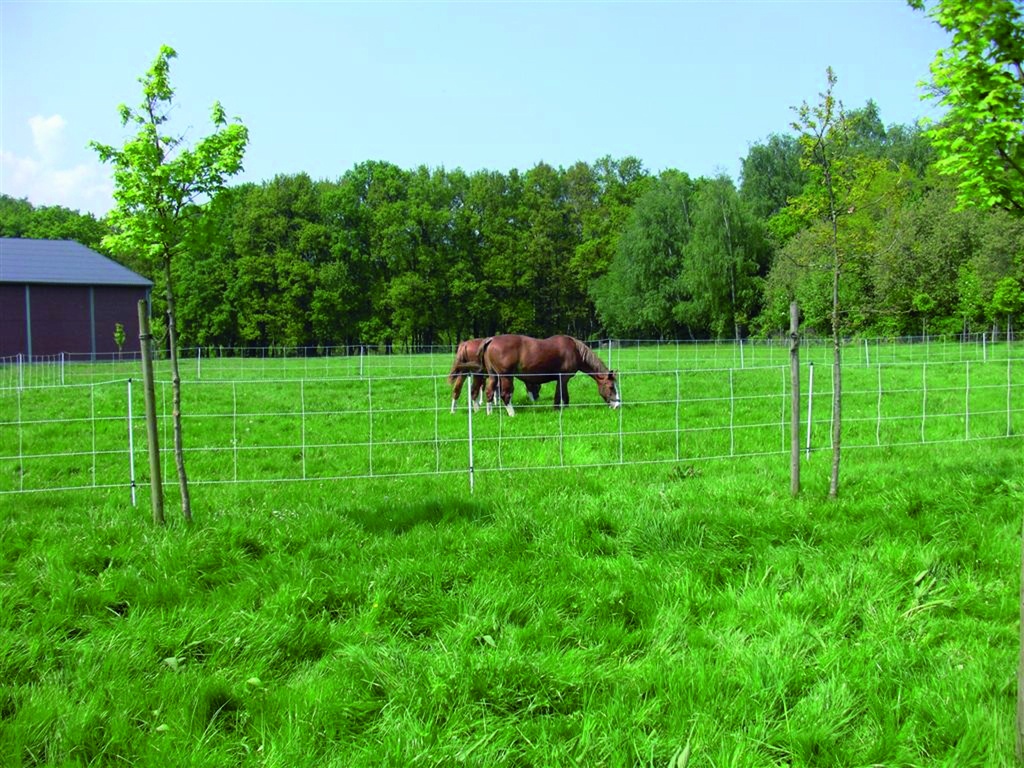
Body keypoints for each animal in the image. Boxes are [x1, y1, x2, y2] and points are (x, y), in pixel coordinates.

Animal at [478, 334, 620, 417]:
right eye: (611, 387)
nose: (617, 405)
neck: (575, 351)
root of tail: (491, 340)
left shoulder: (563, 379)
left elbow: (564, 395)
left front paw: (565, 408)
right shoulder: (563, 378)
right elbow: (560, 395)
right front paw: (558, 409)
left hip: (493, 376)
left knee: (489, 393)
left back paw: (489, 413)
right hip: (506, 377)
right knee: (505, 395)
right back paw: (512, 414)